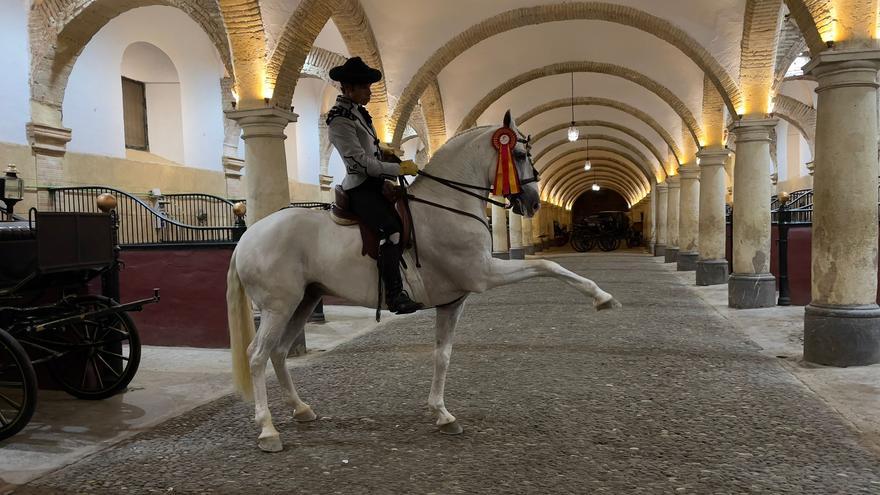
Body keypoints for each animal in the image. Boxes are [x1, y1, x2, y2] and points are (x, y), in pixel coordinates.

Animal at [230, 112, 624, 454]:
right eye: (519, 154)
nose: (531, 203)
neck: (448, 205)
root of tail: (249, 235)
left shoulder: (454, 299)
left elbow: (442, 355)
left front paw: (442, 415)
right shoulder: (484, 274)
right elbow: (547, 264)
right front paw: (602, 297)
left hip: (305, 300)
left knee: (279, 352)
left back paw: (301, 410)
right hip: (278, 306)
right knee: (257, 356)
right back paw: (268, 430)